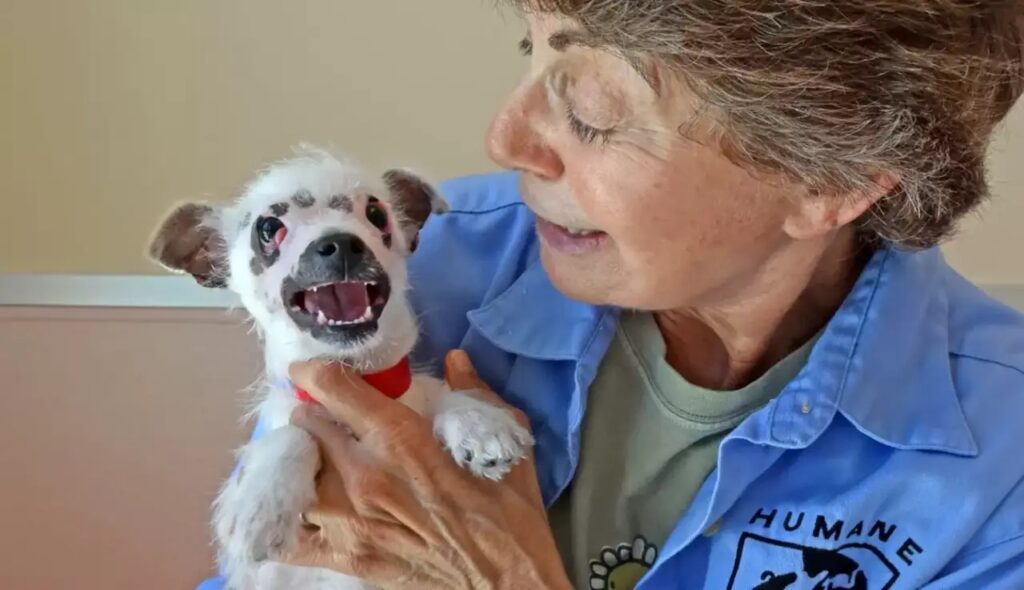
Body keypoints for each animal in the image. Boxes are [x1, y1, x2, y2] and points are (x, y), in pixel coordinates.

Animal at [151, 147, 536, 590]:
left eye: (376, 213)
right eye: (269, 228)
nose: (339, 242)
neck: (358, 374)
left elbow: (438, 393)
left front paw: (478, 421)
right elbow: (292, 432)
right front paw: (263, 499)